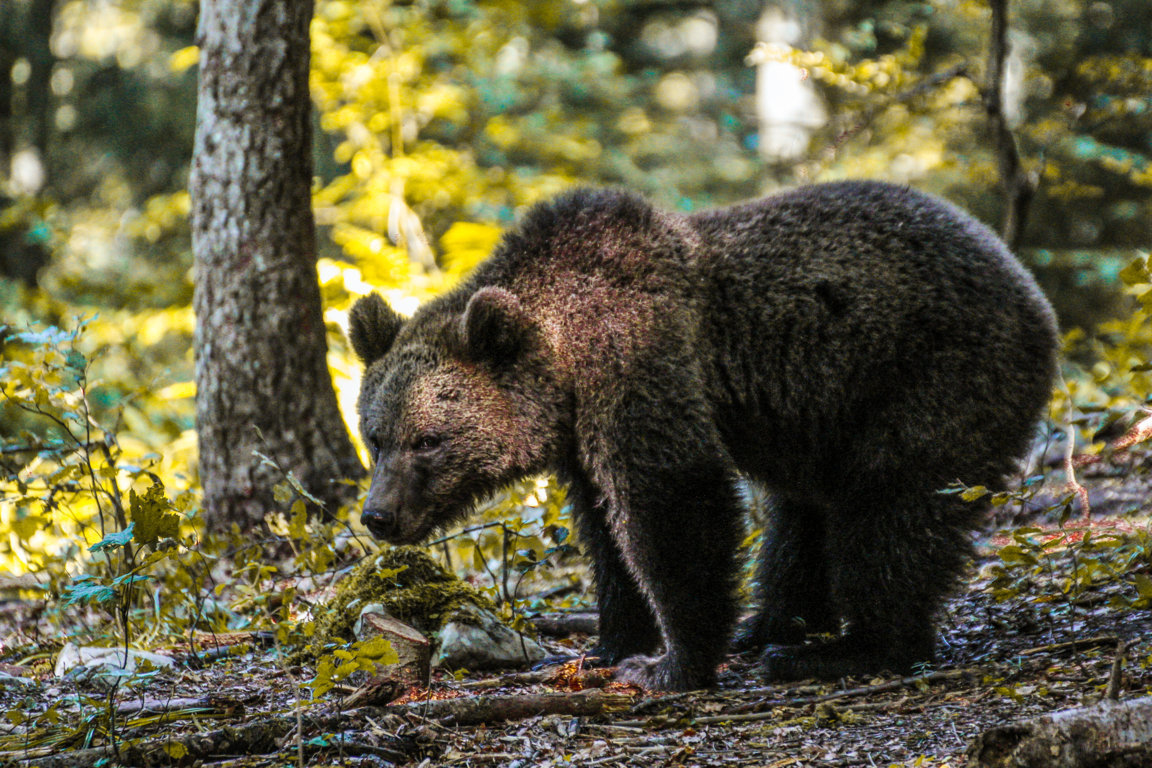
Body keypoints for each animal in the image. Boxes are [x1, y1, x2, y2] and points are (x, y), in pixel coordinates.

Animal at [347, 180, 1059, 692]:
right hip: (828, 417)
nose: (378, 515)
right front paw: (608, 645)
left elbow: (672, 499)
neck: (563, 357)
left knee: (891, 508)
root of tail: (1028, 286)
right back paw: (772, 626)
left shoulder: (635, 357)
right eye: (375, 437)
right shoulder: (578, 432)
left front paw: (668, 664)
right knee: (804, 516)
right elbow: (605, 530)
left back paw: (849, 649)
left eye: (427, 440)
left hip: (929, 376)